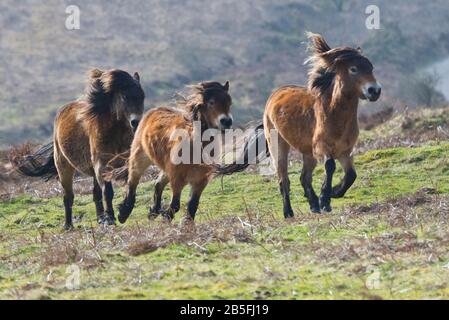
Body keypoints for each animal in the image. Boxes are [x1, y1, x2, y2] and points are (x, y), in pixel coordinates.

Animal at [10, 68, 144, 230]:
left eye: (142, 96)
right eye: (124, 97)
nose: (136, 122)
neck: (115, 132)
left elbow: (131, 185)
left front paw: (123, 212)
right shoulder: (102, 164)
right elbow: (108, 191)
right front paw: (112, 218)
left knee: (95, 193)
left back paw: (101, 218)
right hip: (64, 167)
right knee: (68, 197)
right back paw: (68, 225)